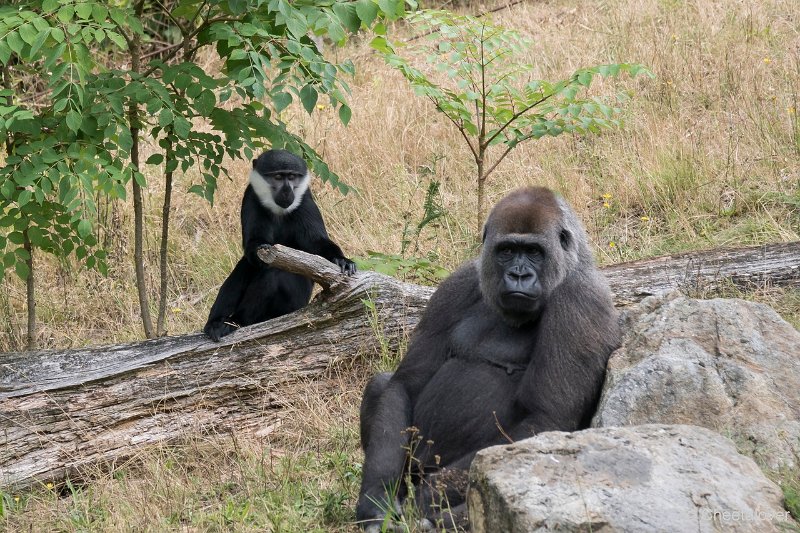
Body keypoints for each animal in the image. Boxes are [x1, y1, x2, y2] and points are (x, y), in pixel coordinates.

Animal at [203, 150, 356, 340]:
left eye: (291, 177)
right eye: (277, 177)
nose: (286, 191)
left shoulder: (305, 201)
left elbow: (316, 242)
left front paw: (342, 260)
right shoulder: (251, 197)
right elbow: (253, 246)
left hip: (294, 302)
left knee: (273, 273)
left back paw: (237, 320)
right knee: (245, 267)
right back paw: (217, 323)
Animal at [354, 186, 620, 528]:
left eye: (534, 252)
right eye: (506, 250)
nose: (518, 275)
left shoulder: (579, 301)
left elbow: (545, 417)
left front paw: (426, 499)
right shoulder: (458, 283)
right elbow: (406, 384)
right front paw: (376, 499)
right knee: (382, 384)